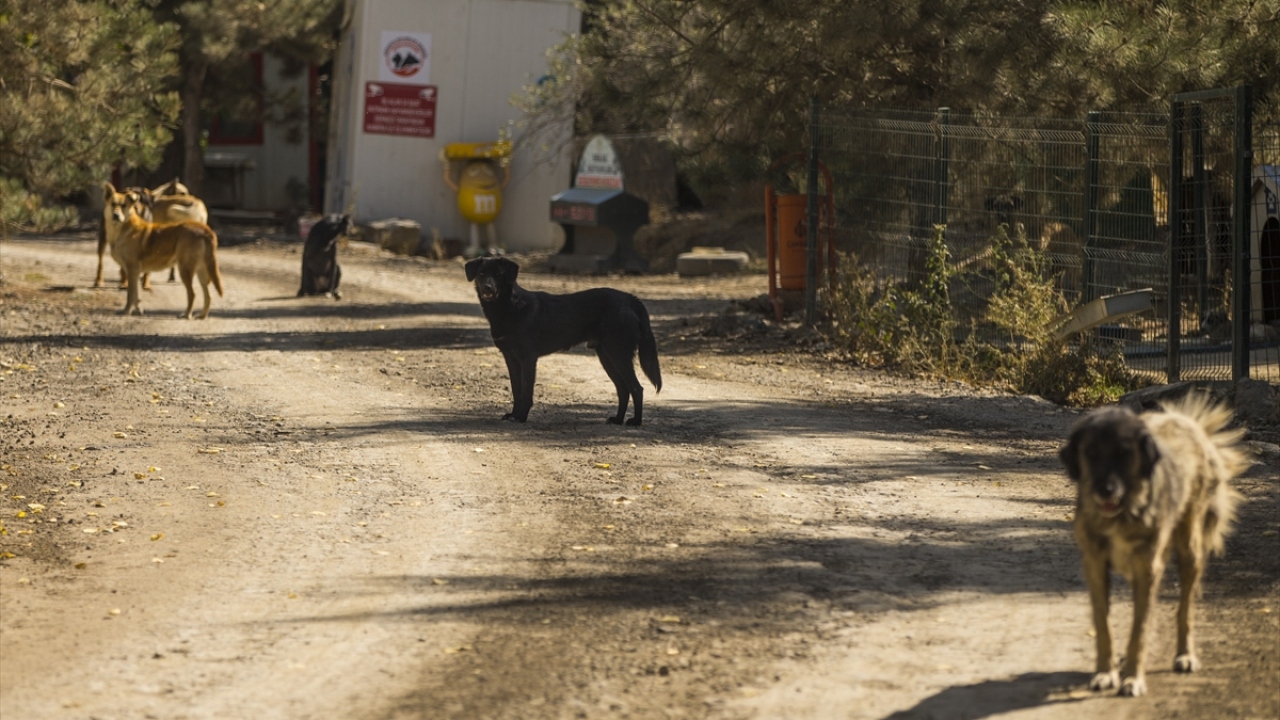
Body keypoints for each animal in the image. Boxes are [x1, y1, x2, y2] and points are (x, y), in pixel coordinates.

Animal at [102, 183, 225, 319]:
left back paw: (187, 315)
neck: (123, 229)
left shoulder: (132, 269)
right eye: (113, 204)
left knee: (193, 294)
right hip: (201, 271)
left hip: (185, 269)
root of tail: (205, 229)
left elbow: (131, 295)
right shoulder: (135, 272)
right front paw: (138, 310)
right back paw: (202, 316)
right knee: (208, 295)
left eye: (123, 205)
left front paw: (126, 311)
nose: (116, 215)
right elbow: (137, 296)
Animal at [465, 257, 662, 425]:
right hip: (607, 356)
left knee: (636, 388)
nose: (487, 288)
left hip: (618, 354)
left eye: (498, 274)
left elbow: (526, 391)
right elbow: (516, 389)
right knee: (623, 389)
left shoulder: (528, 358)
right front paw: (513, 414)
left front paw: (521, 417)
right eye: (481, 273)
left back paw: (636, 422)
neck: (509, 307)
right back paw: (618, 419)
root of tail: (629, 299)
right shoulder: (511, 358)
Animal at [1059, 393, 1249, 697]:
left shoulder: (1148, 568)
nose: (1105, 491)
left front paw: (1133, 677)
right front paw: (1106, 671)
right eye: (1091, 453)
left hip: (1189, 551)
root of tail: (1188, 422)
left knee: (1185, 611)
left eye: (1124, 453)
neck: (1123, 513)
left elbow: (1141, 628)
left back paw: (1185, 655)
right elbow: (1103, 623)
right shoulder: (1095, 565)